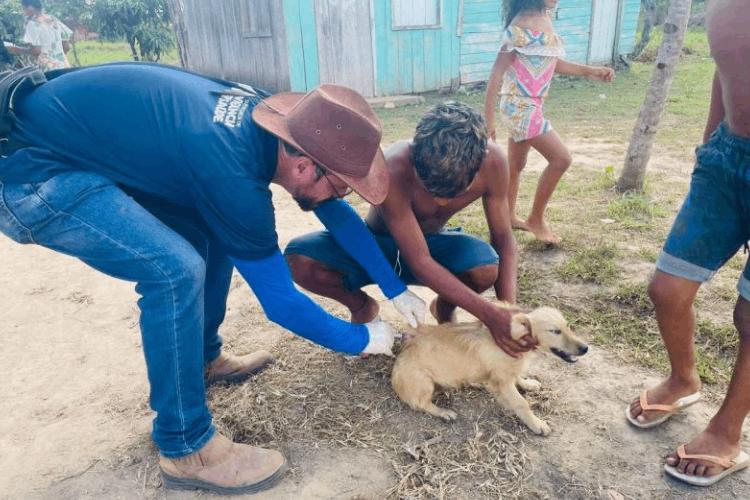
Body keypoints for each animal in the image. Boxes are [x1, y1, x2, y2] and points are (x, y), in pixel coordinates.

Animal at [390, 306, 592, 436]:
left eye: (567, 326)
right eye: (555, 331)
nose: (585, 348)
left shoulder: (510, 371)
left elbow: (519, 376)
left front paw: (528, 383)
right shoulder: (502, 383)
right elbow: (522, 403)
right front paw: (537, 424)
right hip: (424, 383)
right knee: (421, 404)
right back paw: (444, 412)